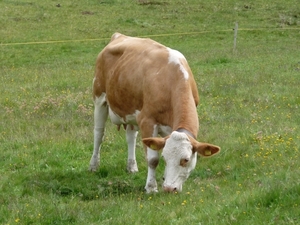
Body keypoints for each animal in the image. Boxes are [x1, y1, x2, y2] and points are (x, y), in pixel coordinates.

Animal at [89, 32, 220, 192]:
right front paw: (151, 187)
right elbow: (152, 160)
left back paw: (132, 166)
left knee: (131, 136)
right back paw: (93, 165)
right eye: (165, 158)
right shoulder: (147, 121)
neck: (170, 79)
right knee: (99, 134)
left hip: (131, 110)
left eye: (186, 159)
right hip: (99, 98)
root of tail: (119, 35)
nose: (169, 189)